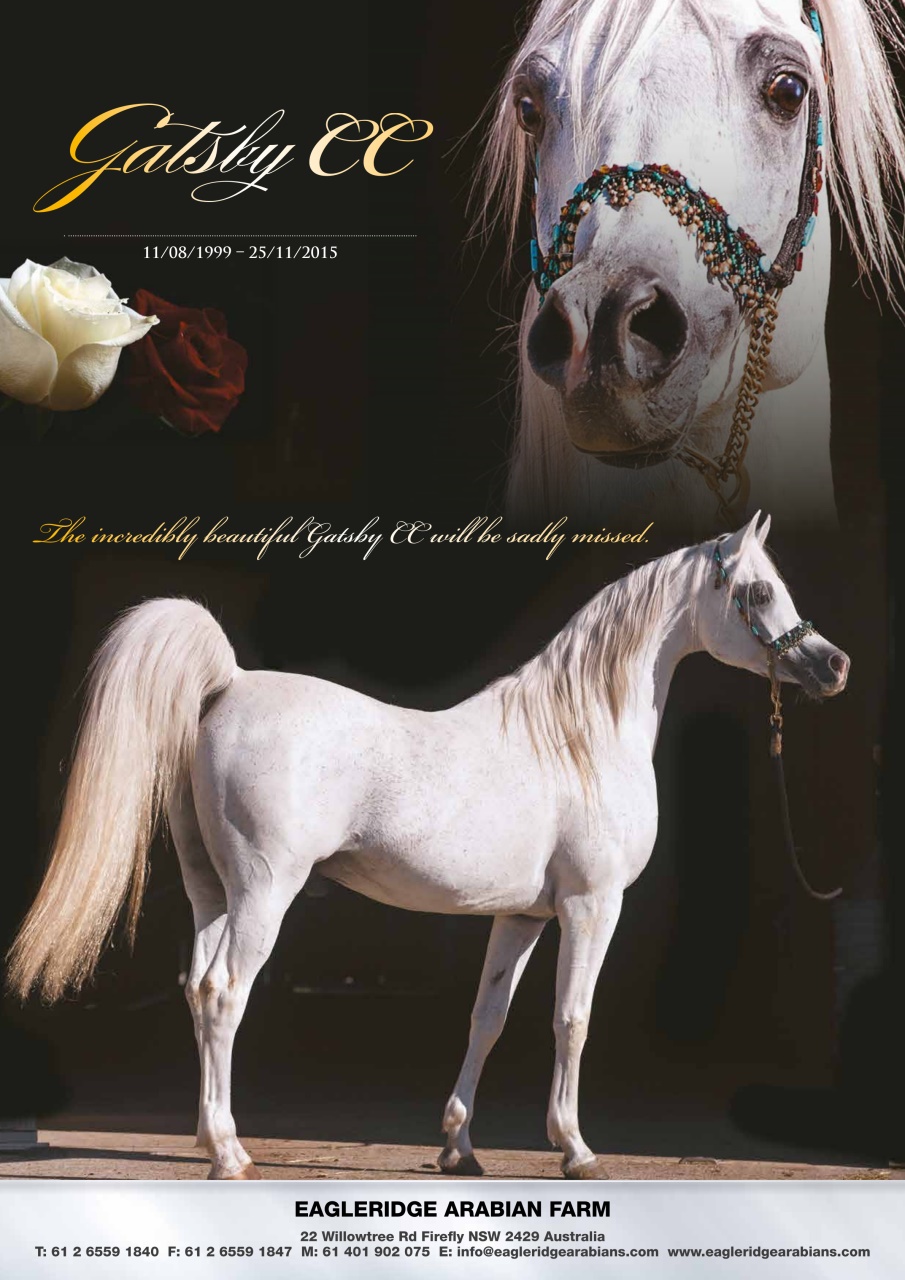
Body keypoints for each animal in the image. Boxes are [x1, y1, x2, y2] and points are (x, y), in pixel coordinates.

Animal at [8, 514, 849, 1180]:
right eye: (756, 593)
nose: (833, 666)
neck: (578, 738)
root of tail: (228, 685)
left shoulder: (521, 916)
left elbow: (488, 1019)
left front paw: (457, 1147)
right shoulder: (590, 906)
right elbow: (570, 1019)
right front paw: (574, 1148)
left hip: (211, 892)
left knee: (193, 986)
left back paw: (205, 1137)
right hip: (263, 892)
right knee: (223, 993)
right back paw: (230, 1152)